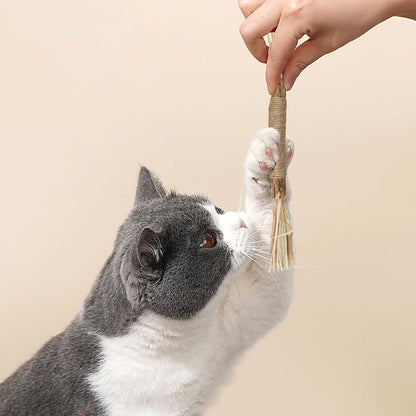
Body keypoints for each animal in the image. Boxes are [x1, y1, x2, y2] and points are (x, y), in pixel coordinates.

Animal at [0, 128, 294, 414]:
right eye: (208, 240)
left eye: (218, 210)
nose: (242, 221)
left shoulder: (222, 334)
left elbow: (267, 286)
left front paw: (266, 158)